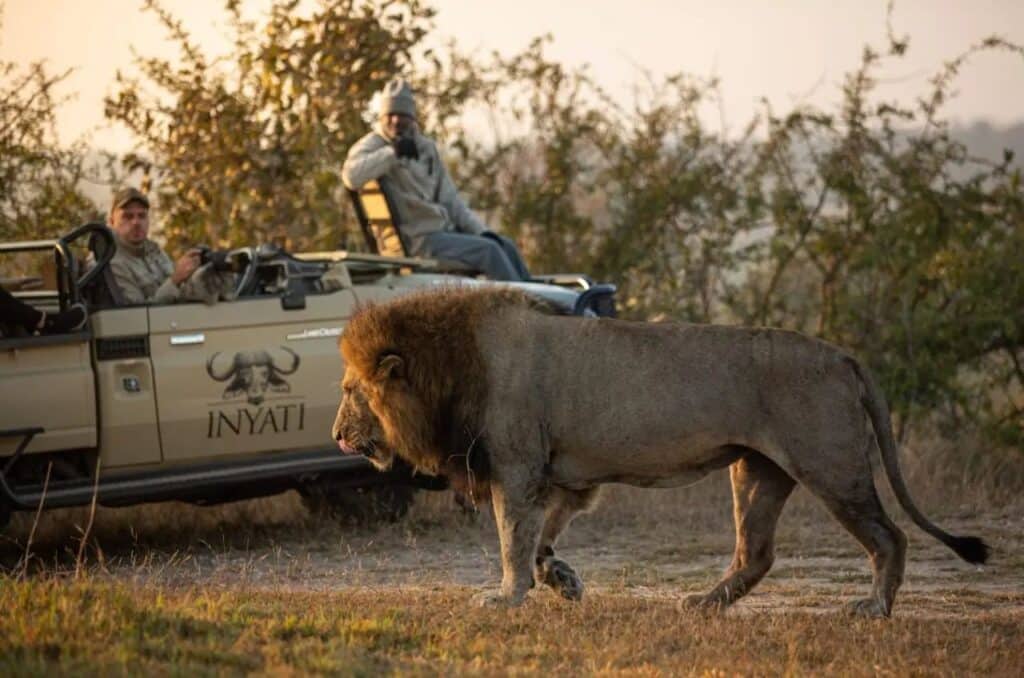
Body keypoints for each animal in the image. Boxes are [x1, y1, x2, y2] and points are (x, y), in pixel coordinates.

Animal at [332, 287, 989, 617]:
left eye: (349, 391)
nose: (337, 435)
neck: (448, 369)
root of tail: (844, 355)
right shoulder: (567, 477)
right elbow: (541, 538)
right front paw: (561, 582)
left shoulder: (516, 470)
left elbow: (511, 538)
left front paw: (505, 597)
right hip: (758, 470)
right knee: (756, 553)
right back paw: (701, 604)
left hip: (829, 466)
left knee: (890, 537)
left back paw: (873, 608)